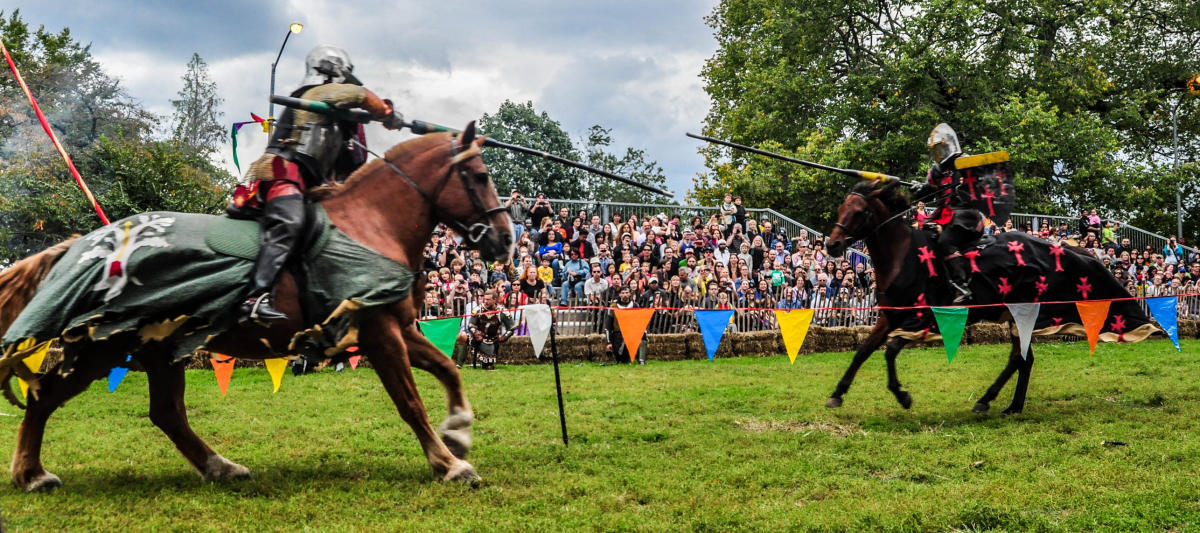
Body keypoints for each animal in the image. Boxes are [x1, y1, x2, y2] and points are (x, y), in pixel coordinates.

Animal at [0, 121, 511, 492]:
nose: (506, 240)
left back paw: (221, 468)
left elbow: (449, 368)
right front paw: (448, 464)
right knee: (45, 397)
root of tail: (81, 246)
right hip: (103, 349)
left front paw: (459, 431)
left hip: (159, 350)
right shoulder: (379, 333)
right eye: (481, 177)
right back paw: (31, 475)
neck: (370, 224)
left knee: (167, 413)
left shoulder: (398, 329)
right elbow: (410, 402)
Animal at [825, 181, 1152, 415]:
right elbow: (863, 351)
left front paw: (903, 396)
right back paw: (1010, 406)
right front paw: (837, 394)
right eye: (841, 208)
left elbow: (890, 350)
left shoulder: (925, 318)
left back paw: (988, 400)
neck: (903, 257)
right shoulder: (889, 316)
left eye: (859, 212)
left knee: (1020, 359)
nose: (832, 245)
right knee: (1023, 359)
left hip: (1023, 312)